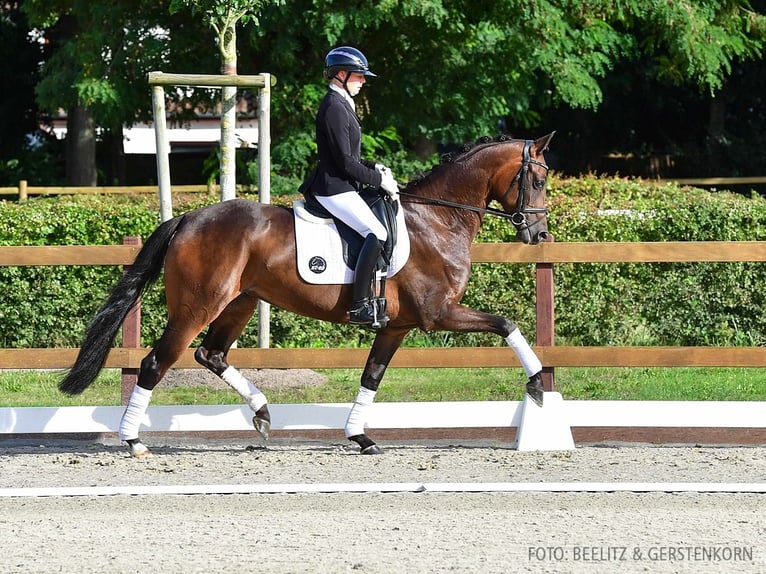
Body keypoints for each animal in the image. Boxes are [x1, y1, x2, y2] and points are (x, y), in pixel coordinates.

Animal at [58, 134, 552, 460]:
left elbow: (372, 376)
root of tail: (190, 218)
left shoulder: (397, 325)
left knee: (211, 354)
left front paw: (360, 437)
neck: (436, 220)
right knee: (156, 363)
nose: (541, 235)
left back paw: (262, 413)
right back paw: (134, 441)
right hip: (198, 306)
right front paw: (536, 386)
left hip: (239, 303)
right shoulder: (438, 313)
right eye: (539, 181)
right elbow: (507, 323)